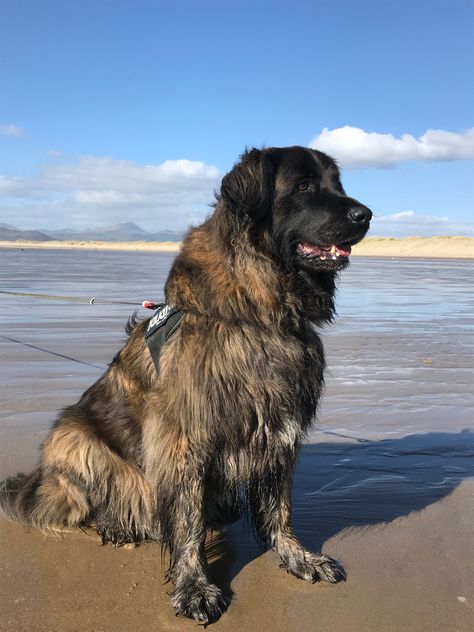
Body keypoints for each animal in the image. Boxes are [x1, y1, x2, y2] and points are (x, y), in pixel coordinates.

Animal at [0, 147, 370, 624]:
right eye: (304, 186)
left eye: (336, 184)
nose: (366, 215)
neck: (259, 314)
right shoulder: (185, 437)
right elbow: (188, 520)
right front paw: (193, 585)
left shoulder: (278, 429)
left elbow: (279, 508)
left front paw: (298, 557)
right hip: (74, 438)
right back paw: (115, 525)